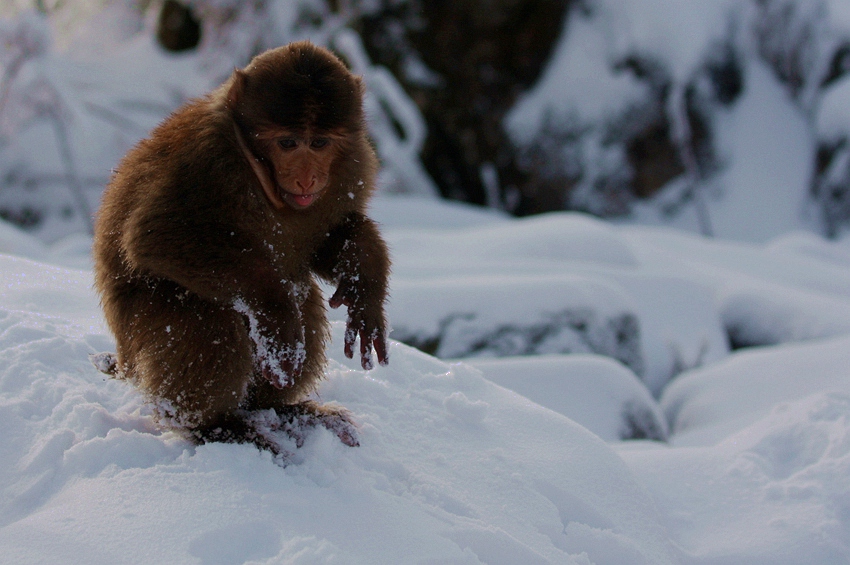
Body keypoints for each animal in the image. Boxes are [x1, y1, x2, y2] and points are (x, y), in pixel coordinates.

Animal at [91, 40, 390, 454]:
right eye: (287, 143)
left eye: (319, 142)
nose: (307, 177)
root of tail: (124, 363)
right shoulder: (204, 160)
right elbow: (158, 235)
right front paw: (275, 311)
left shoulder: (352, 169)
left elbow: (329, 238)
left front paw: (365, 283)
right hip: (137, 339)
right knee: (205, 314)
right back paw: (214, 425)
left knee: (301, 294)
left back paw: (278, 411)